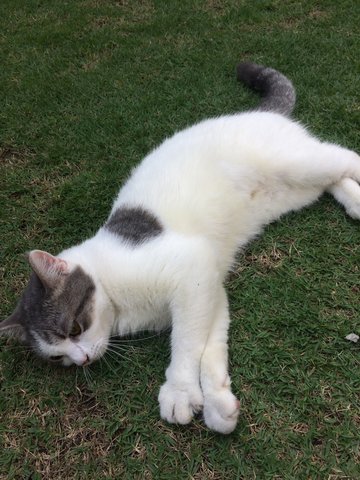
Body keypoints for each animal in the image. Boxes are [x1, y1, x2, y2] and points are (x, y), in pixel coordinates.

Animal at [2, 62, 360, 434]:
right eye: (58, 356)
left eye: (74, 328)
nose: (82, 360)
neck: (117, 299)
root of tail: (257, 113)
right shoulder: (209, 289)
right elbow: (210, 346)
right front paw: (218, 403)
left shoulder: (193, 273)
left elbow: (187, 343)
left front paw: (179, 391)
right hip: (295, 189)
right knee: (331, 181)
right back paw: (356, 202)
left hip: (296, 163)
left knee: (347, 157)